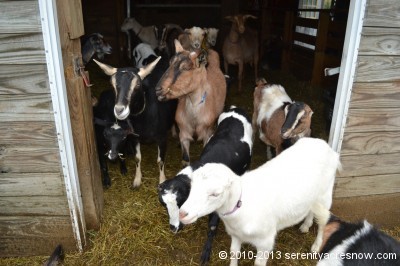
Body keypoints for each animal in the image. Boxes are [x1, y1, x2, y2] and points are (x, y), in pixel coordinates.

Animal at [94, 55, 177, 187]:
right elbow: (137, 158)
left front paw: (162, 180)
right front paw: (137, 180)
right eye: (112, 85)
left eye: (138, 84)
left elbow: (160, 160)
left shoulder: (162, 137)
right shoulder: (134, 137)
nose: (119, 110)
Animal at [157, 105, 253, 264]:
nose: (173, 228)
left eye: (180, 202)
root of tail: (235, 108)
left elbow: (212, 227)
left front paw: (206, 253)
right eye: (164, 205)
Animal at [180, 138, 340, 266]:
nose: (182, 213)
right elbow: (233, 253)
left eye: (215, 194)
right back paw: (306, 225)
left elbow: (258, 263)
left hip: (326, 193)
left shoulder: (265, 242)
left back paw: (316, 246)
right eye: (192, 186)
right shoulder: (236, 235)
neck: (242, 204)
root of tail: (323, 144)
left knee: (323, 221)